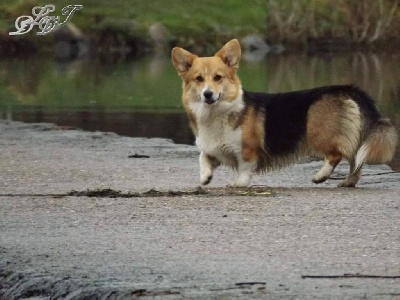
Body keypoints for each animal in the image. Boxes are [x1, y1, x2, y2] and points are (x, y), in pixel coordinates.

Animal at [171, 38, 396, 186]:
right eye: (199, 79)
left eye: (218, 77)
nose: (208, 94)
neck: (215, 113)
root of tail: (343, 88)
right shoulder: (213, 149)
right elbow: (203, 157)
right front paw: (205, 177)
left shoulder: (248, 150)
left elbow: (245, 167)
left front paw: (239, 183)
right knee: (355, 160)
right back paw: (347, 182)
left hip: (319, 134)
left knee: (337, 155)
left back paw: (320, 176)